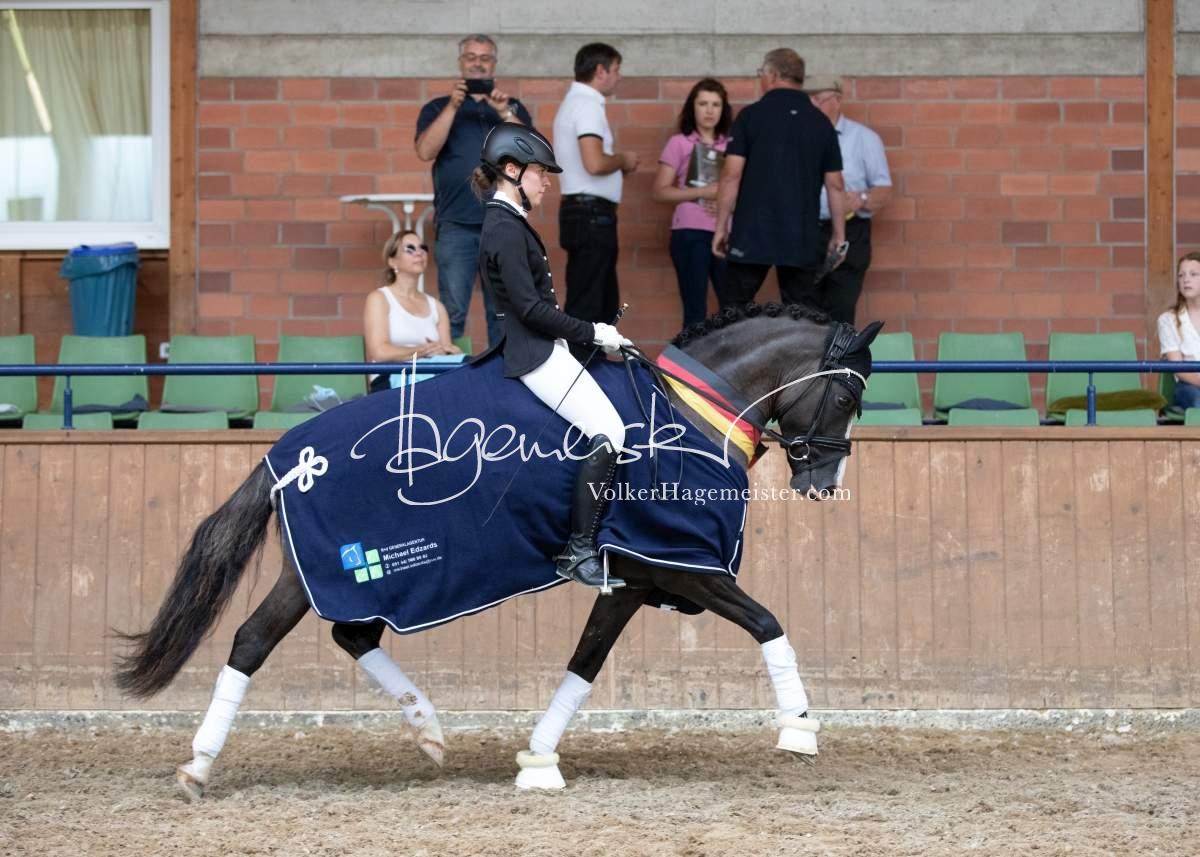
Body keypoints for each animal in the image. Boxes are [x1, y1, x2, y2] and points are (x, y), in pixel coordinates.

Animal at [113, 303, 880, 799]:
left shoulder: (632, 577)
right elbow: (769, 623)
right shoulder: (682, 564)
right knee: (254, 639)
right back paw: (198, 767)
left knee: (350, 633)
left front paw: (538, 759)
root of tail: (284, 455)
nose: (822, 482)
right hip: (329, 569)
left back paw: (426, 728)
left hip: (351, 575)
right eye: (847, 396)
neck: (690, 417)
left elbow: (584, 664)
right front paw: (799, 729)